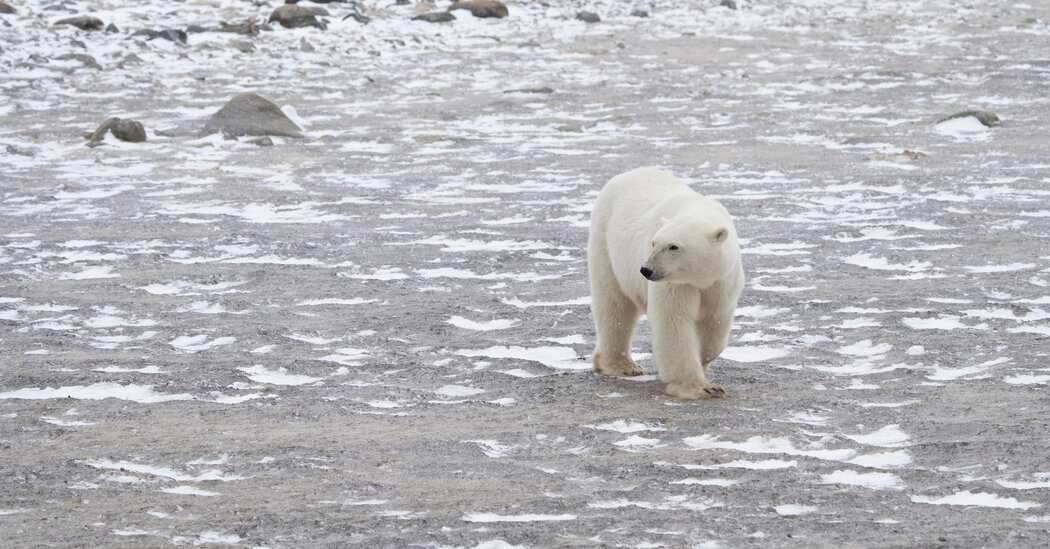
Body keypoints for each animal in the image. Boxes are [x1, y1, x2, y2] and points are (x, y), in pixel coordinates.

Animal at [587, 168, 744, 399]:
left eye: (674, 246)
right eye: (654, 243)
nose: (646, 269)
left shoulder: (722, 279)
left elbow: (715, 322)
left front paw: (703, 361)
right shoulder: (675, 283)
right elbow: (673, 320)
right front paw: (703, 387)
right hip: (606, 244)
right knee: (614, 305)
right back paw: (623, 365)